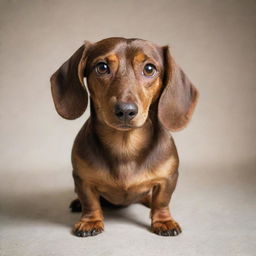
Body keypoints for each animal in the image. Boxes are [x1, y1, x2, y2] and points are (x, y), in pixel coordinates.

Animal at [49, 37, 198, 237]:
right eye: (102, 67)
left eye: (149, 69)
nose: (126, 110)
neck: (125, 145)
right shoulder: (82, 179)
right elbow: (90, 201)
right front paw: (90, 221)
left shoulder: (168, 179)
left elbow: (162, 201)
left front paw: (164, 221)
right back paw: (77, 203)